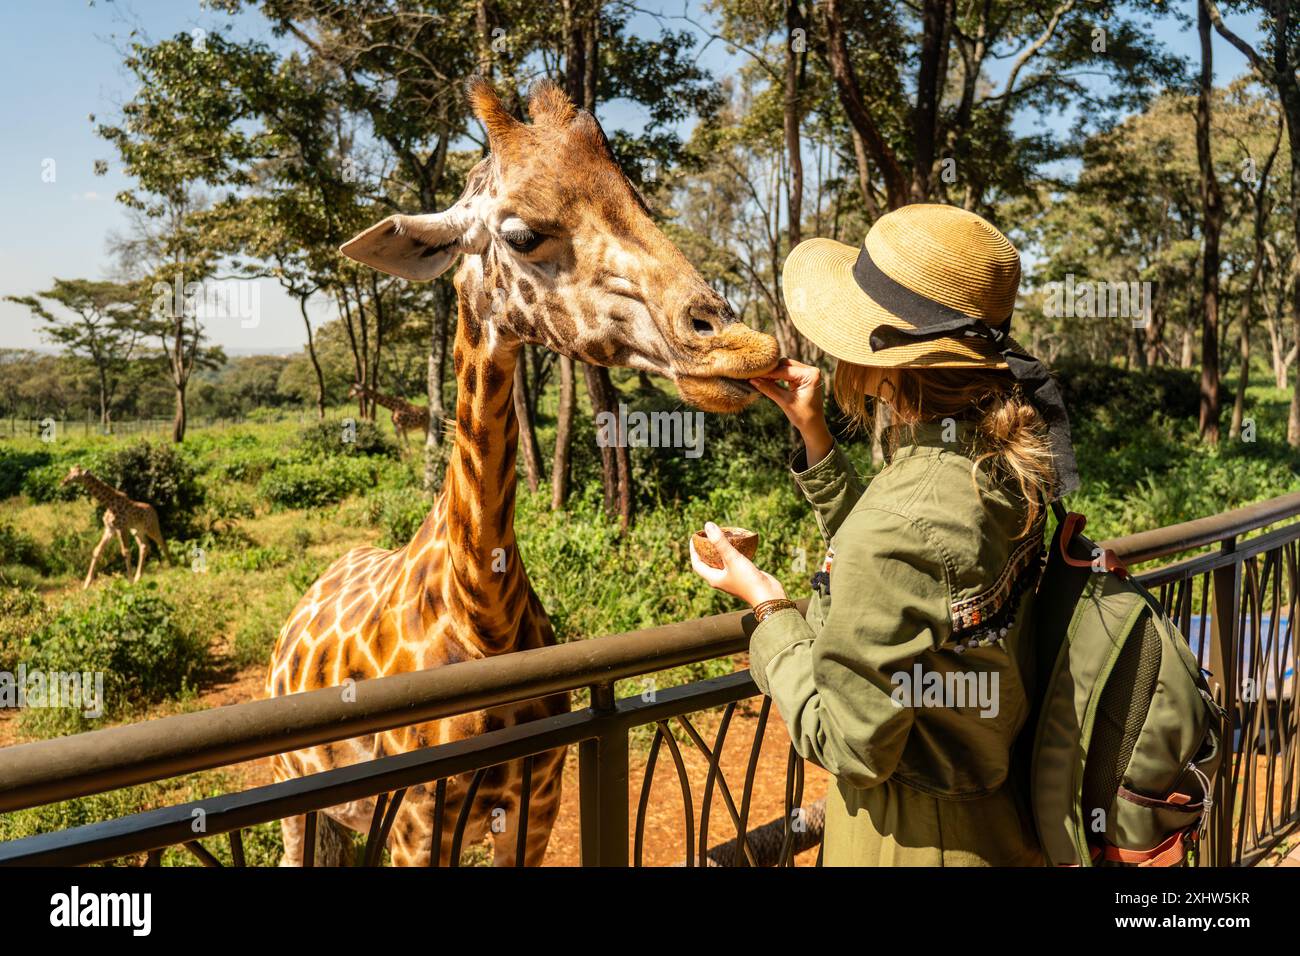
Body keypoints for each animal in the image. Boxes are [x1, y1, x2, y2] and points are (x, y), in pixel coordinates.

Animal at [266, 78, 779, 867]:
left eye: (642, 202)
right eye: (522, 235)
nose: (741, 346)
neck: (483, 619)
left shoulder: (536, 808)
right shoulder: (416, 827)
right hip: (297, 795)